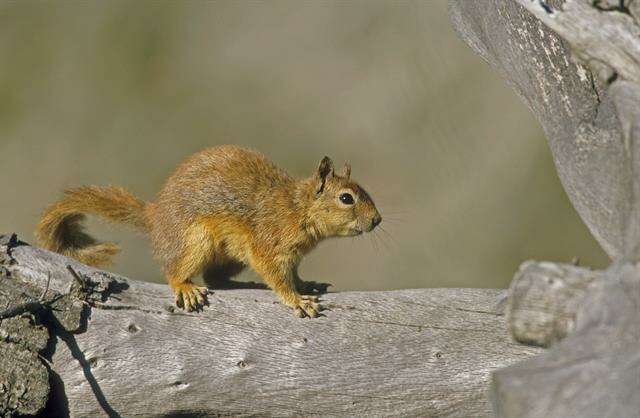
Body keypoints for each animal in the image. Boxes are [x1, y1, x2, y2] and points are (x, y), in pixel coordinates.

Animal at [36, 145, 380, 316]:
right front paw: (297, 300)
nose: (377, 220)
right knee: (177, 272)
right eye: (346, 198)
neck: (297, 208)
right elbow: (278, 277)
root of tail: (156, 218)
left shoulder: (292, 256)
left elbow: (293, 273)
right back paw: (185, 287)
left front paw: (307, 284)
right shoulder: (268, 243)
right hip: (196, 240)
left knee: (217, 278)